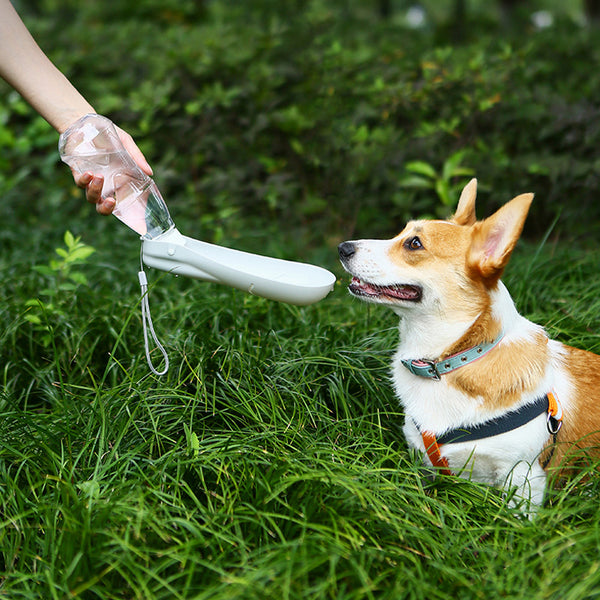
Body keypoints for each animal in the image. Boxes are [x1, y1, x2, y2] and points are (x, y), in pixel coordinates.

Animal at [338, 178, 600, 510]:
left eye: (414, 244)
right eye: (401, 233)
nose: (342, 248)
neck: (450, 360)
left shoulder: (524, 480)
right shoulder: (424, 464)